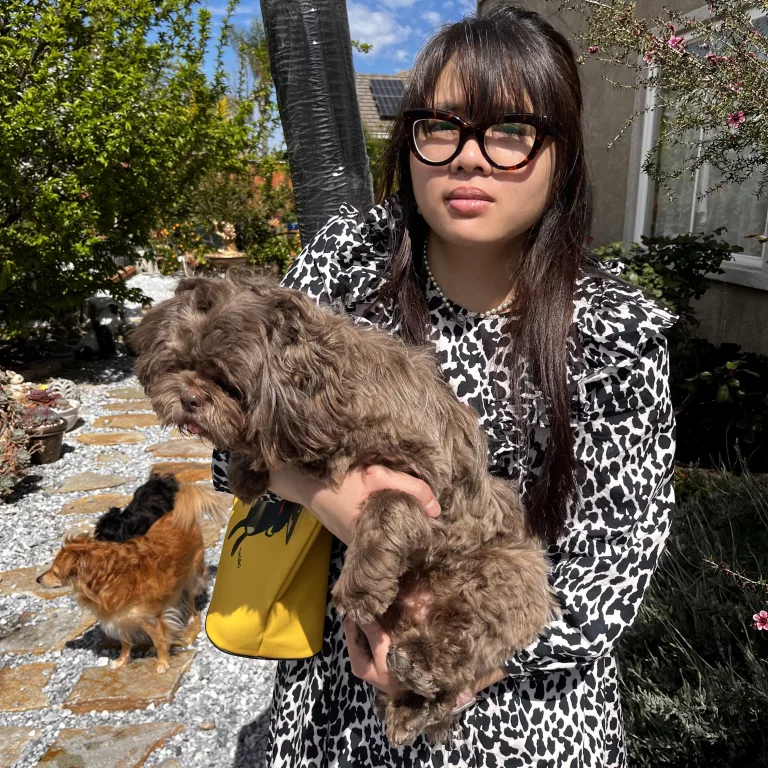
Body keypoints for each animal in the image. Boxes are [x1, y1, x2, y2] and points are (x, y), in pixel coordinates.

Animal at [37, 486, 228, 672]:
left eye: (55, 572)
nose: (38, 579)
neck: (109, 579)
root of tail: (176, 514)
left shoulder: (150, 619)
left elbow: (159, 640)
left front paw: (163, 662)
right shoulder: (121, 619)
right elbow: (125, 643)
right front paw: (122, 661)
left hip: (192, 576)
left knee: (190, 600)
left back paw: (189, 620)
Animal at [129, 270, 556, 744]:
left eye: (227, 383)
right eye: (178, 363)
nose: (188, 397)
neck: (326, 397)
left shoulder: (433, 488)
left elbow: (388, 503)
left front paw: (360, 585)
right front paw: (248, 468)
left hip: (500, 572)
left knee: (463, 637)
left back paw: (420, 662)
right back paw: (411, 710)